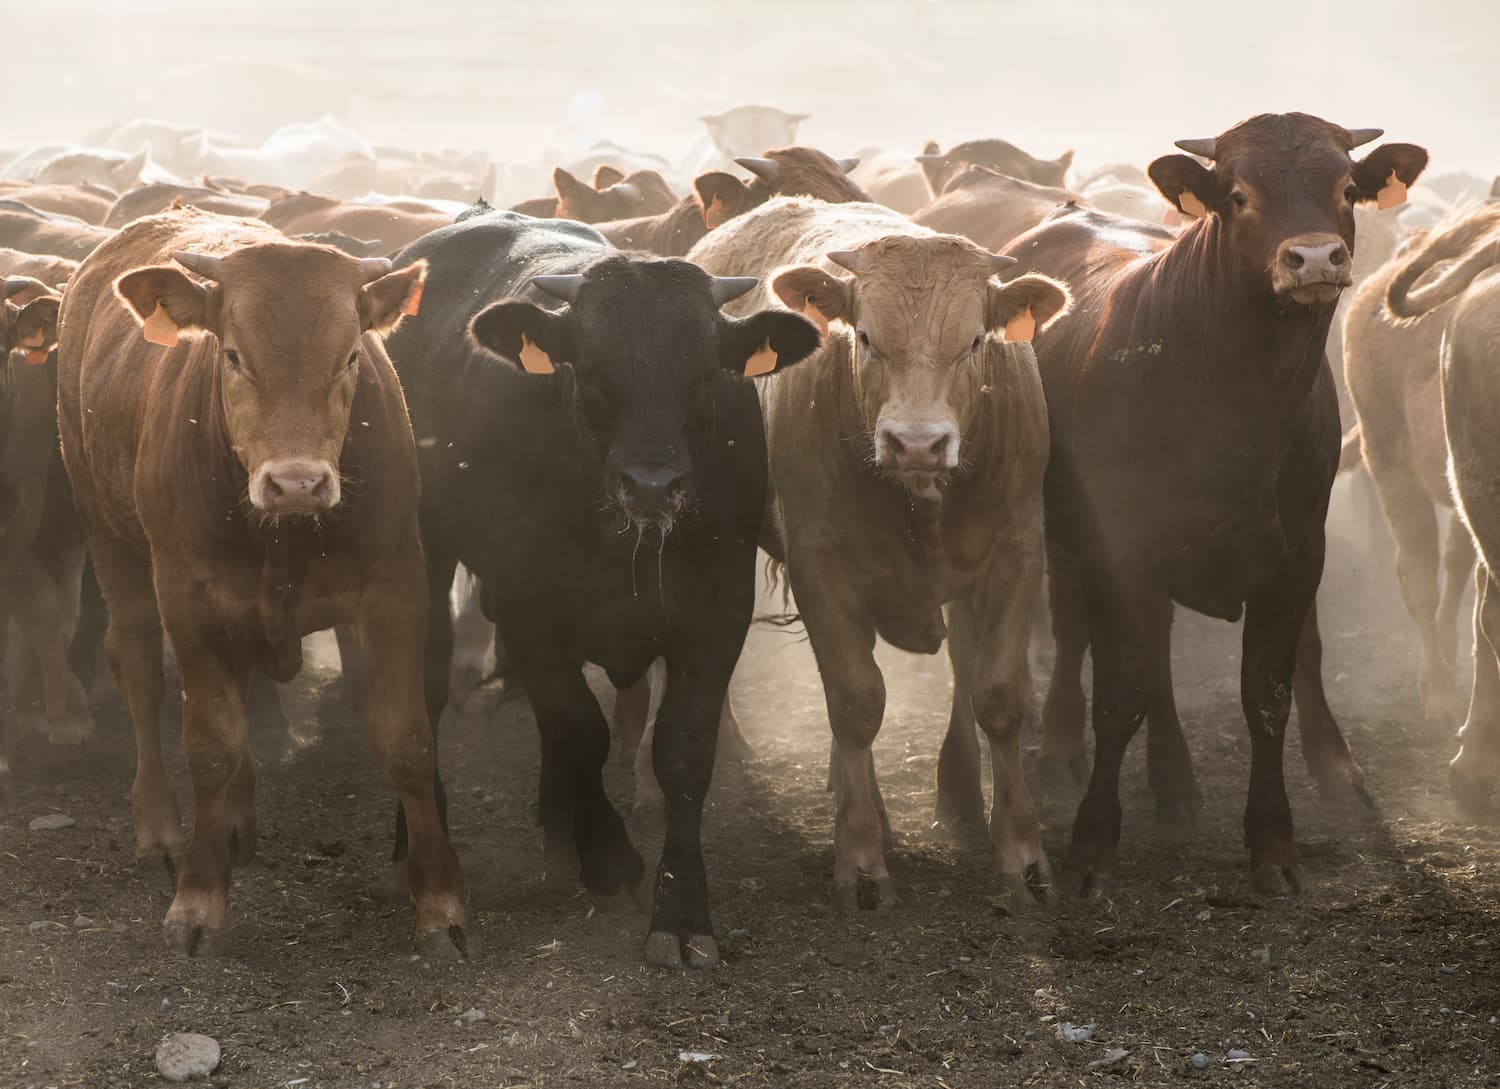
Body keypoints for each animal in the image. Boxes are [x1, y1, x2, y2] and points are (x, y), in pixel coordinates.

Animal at [54, 207, 462, 954]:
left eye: (351, 356)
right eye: (234, 356)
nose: (296, 482)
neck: (285, 534)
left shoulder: (396, 583)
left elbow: (407, 740)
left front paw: (441, 899)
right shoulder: (186, 597)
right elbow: (210, 744)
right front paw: (198, 896)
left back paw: (237, 820)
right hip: (110, 536)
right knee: (138, 671)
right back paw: (160, 823)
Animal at [381, 208, 816, 966]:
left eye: (705, 374)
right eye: (591, 372)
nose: (651, 484)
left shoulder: (717, 612)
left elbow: (681, 750)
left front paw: (681, 910)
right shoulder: (528, 608)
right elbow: (579, 728)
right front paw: (612, 858)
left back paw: (559, 820)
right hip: (427, 555)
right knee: (429, 686)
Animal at [687, 198, 1074, 912]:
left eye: (974, 341)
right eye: (865, 337)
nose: (915, 443)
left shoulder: (1016, 552)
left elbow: (998, 695)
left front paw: (1024, 856)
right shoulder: (820, 566)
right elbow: (856, 701)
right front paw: (862, 860)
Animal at [1002, 113, 1422, 894]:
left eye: (1347, 189)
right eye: (1238, 195)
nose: (1313, 259)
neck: (1240, 402)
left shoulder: (1296, 554)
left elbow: (1266, 694)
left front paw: (1274, 844)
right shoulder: (1120, 549)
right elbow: (1119, 695)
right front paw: (1092, 846)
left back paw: (1174, 783)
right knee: (1085, 639)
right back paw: (1067, 749)